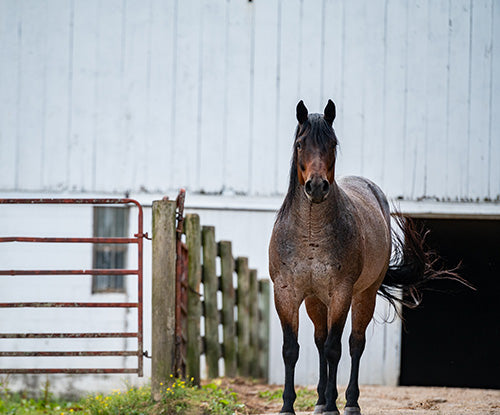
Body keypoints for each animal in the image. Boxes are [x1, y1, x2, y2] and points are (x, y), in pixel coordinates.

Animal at [268, 101, 466, 415]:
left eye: (332, 144)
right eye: (300, 144)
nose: (316, 186)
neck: (310, 233)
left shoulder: (341, 293)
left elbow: (335, 349)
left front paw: (334, 406)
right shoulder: (287, 293)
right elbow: (292, 350)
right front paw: (289, 406)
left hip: (364, 295)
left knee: (354, 344)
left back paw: (349, 402)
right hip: (315, 300)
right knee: (320, 340)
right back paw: (320, 401)